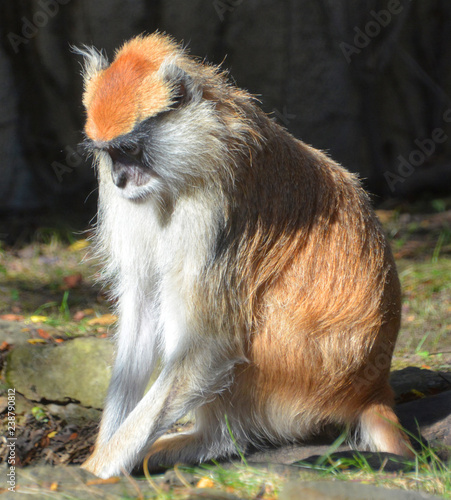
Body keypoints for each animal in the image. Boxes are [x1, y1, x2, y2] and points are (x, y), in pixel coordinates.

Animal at [78, 33, 414, 478]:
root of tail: (371, 390)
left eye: (130, 148)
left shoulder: (216, 207)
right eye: (110, 153)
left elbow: (212, 342)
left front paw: (98, 468)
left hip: (290, 375)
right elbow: (141, 307)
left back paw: (209, 440)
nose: (119, 179)